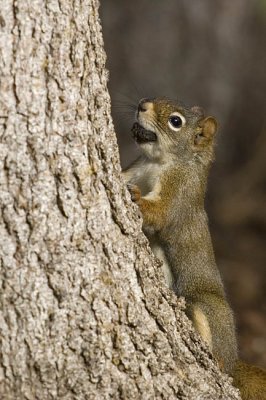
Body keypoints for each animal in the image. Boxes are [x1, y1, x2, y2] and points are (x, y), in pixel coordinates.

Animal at [122, 97, 266, 400]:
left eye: (176, 121)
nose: (142, 104)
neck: (160, 162)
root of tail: (234, 361)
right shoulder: (137, 168)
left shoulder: (179, 191)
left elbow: (160, 214)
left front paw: (136, 197)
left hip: (203, 305)